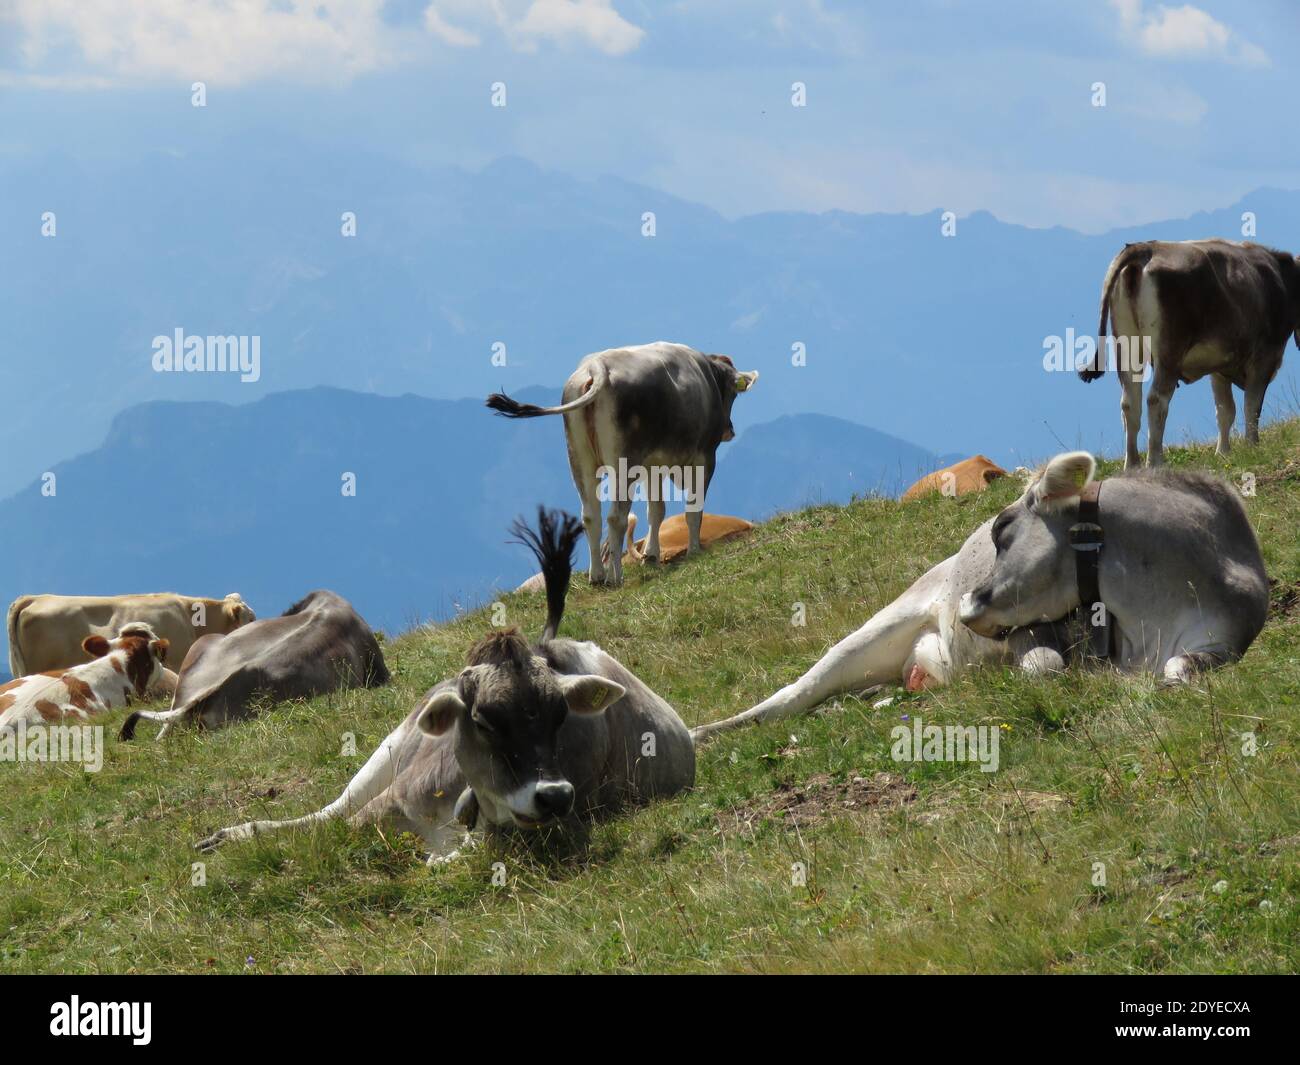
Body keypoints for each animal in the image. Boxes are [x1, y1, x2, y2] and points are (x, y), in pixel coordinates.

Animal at [194, 509, 696, 863]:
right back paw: (234, 834)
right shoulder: (389, 803)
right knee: (328, 812)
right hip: (389, 749)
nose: (554, 796)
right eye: (483, 721)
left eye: (561, 717)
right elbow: (336, 829)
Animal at [486, 342, 759, 587]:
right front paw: (694, 551)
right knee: (616, 517)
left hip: (579, 458)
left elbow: (656, 510)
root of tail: (597, 366)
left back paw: (597, 575)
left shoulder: (652, 465)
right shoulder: (705, 457)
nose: (730, 431)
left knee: (590, 516)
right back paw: (614, 577)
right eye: (734, 393)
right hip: (623, 463)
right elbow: (693, 509)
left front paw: (651, 555)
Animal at [692, 451, 1268, 739]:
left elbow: (1180, 670)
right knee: (791, 696)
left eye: (1002, 528)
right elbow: (1047, 667)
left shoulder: (1225, 638)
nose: (967, 604)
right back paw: (705, 732)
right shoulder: (1032, 630)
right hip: (878, 628)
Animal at [1080, 239, 1300, 468]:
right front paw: (1252, 446)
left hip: (1127, 347)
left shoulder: (1219, 367)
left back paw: (1133, 464)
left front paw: (1223, 452)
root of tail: (1145, 247)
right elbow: (1252, 406)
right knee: (1156, 400)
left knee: (1130, 403)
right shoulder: (1264, 357)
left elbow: (1225, 410)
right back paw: (1156, 461)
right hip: (1169, 352)